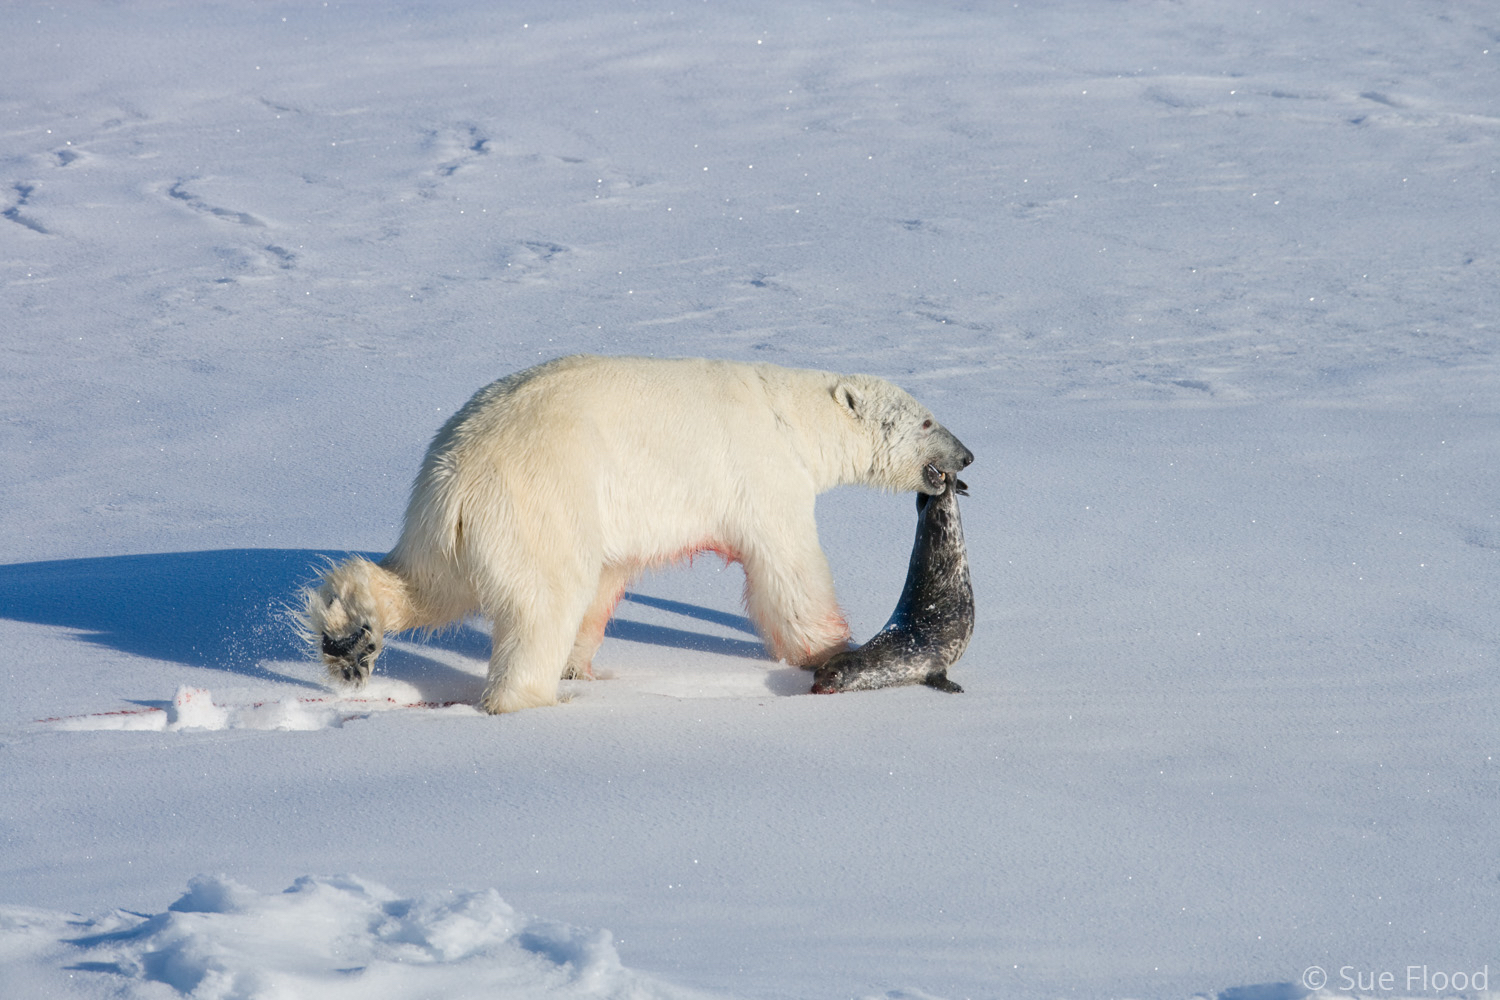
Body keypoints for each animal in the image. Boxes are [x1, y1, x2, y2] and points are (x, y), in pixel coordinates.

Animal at [304, 353, 972, 710]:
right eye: (926, 420)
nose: (965, 456)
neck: (791, 415)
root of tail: (455, 472)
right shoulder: (764, 475)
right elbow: (788, 570)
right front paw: (833, 651)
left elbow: (609, 579)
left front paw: (582, 665)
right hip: (540, 499)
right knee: (543, 601)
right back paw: (530, 699)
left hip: (447, 524)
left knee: (427, 584)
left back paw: (348, 638)